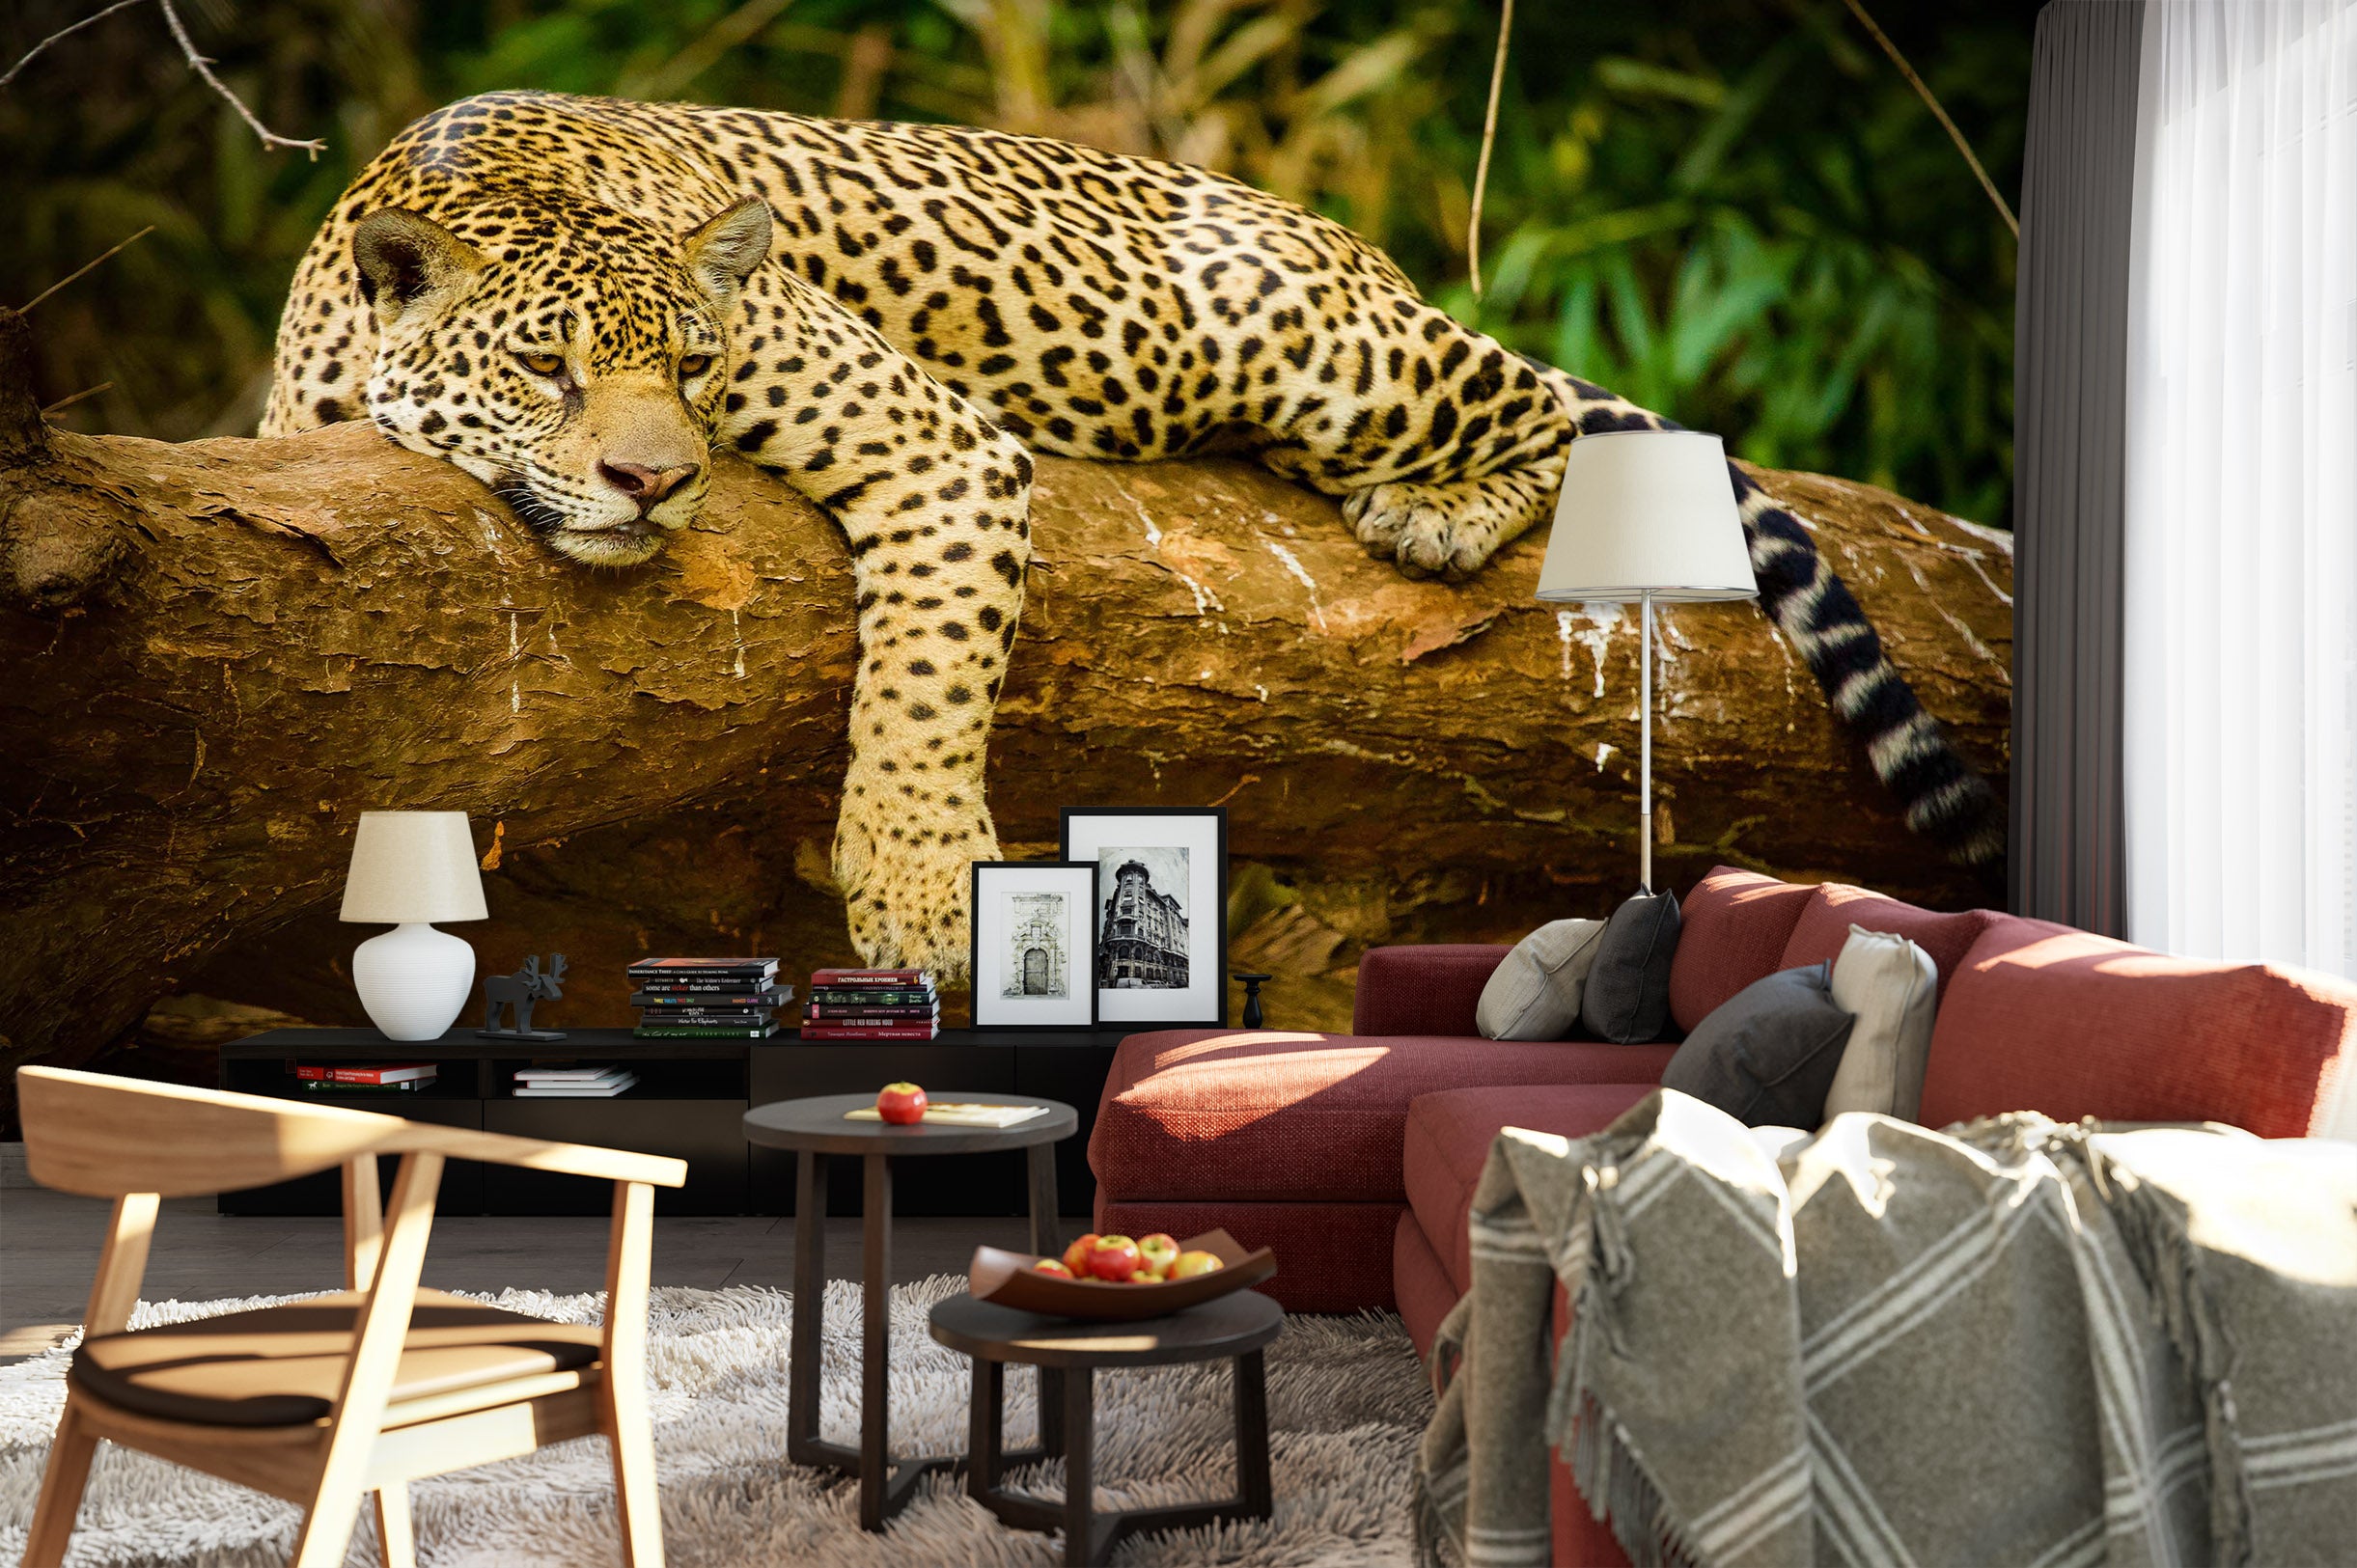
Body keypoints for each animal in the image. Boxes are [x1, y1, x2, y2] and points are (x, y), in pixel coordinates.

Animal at [265, 90, 1999, 976]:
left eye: (692, 366)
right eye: (546, 372)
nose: (652, 482)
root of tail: (1346, 243)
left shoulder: (938, 446)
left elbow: (922, 688)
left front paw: (919, 890)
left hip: (1310, 343)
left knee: (1530, 401)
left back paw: (1441, 508)